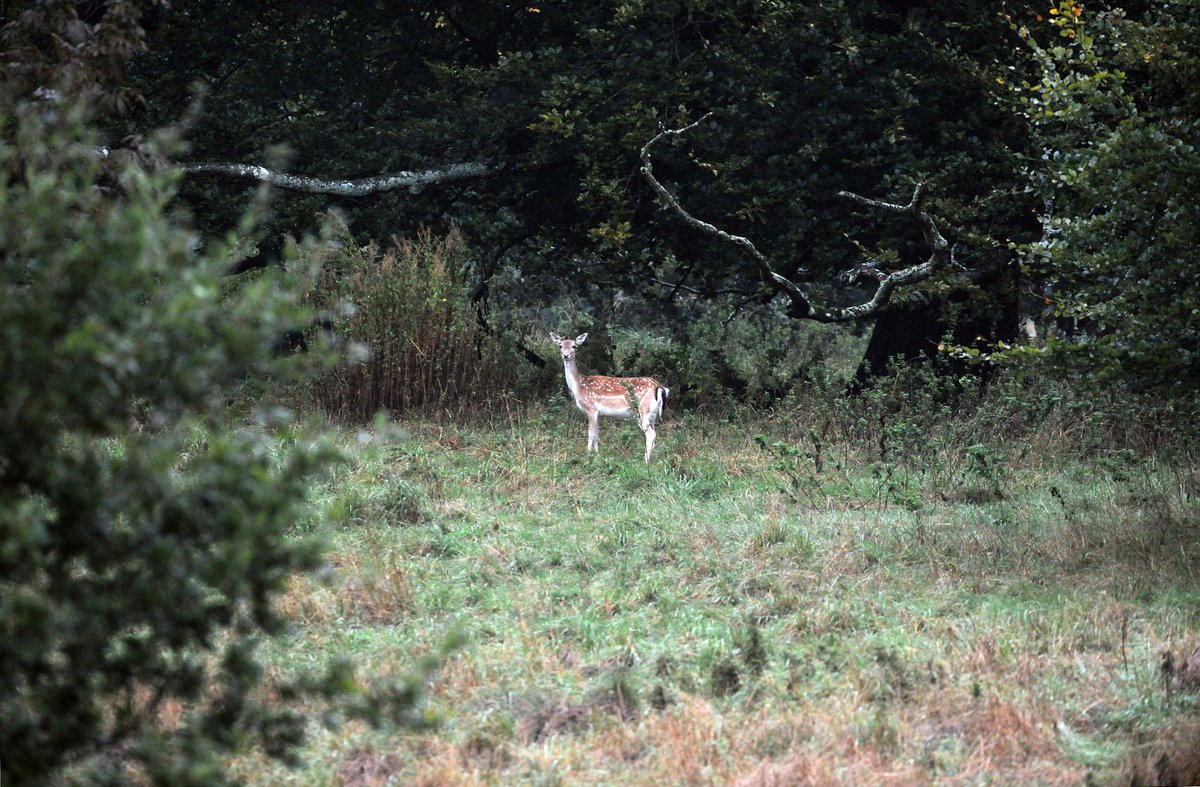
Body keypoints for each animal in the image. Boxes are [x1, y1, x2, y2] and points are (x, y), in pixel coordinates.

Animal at [549, 332, 669, 463]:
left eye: (574, 346)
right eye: (560, 346)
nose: (565, 355)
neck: (579, 387)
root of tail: (660, 387)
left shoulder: (591, 408)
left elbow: (590, 434)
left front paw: (587, 456)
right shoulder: (599, 413)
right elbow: (596, 435)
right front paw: (597, 456)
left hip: (643, 410)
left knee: (650, 435)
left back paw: (645, 461)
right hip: (653, 414)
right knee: (654, 434)